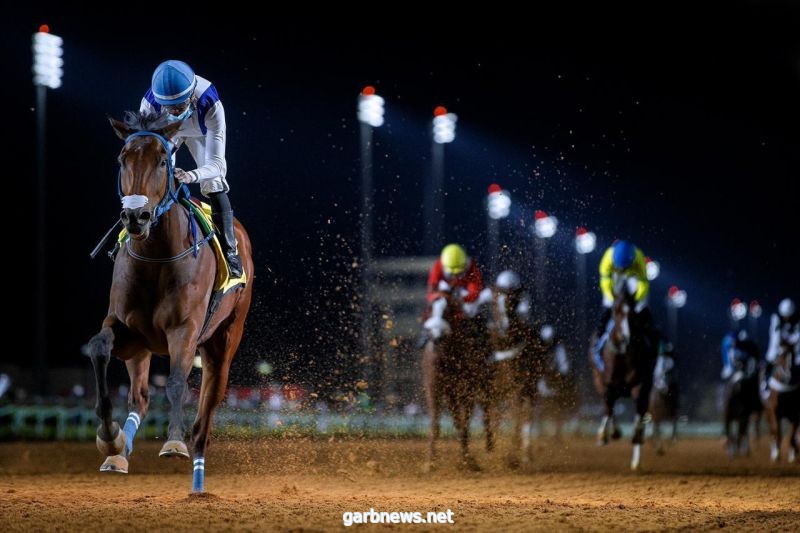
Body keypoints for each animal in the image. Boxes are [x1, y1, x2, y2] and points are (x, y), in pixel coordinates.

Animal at [84, 114, 253, 492]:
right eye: (123, 159)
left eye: (163, 161)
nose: (136, 217)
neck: (155, 256)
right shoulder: (126, 329)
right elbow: (99, 348)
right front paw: (109, 437)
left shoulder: (184, 330)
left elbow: (176, 382)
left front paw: (174, 442)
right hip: (142, 347)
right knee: (140, 397)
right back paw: (119, 454)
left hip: (223, 342)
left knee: (205, 419)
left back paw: (198, 483)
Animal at [422, 286, 490, 470]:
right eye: (430, 308)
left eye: (448, 310)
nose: (436, 336)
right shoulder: (434, 388)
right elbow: (436, 424)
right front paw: (430, 462)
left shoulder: (469, 389)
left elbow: (465, 423)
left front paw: (468, 461)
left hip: (484, 383)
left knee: (486, 411)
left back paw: (490, 446)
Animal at [592, 276, 660, 468]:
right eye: (615, 310)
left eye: (632, 313)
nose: (625, 338)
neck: (622, 356)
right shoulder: (606, 384)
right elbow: (608, 408)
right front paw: (603, 435)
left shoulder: (640, 385)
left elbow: (638, 416)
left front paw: (637, 450)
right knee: (609, 406)